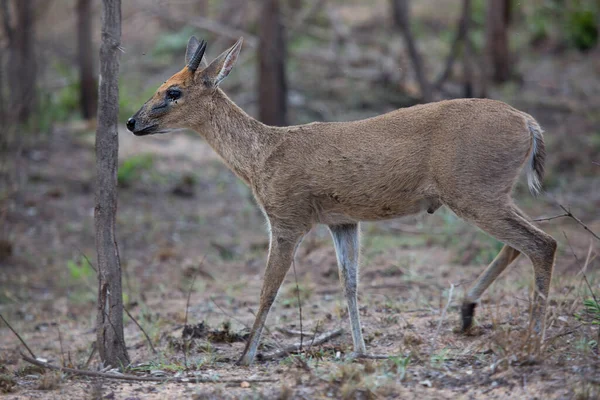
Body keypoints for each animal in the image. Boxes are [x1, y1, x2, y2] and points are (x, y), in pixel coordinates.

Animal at [126, 37, 556, 366]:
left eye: (173, 91)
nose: (132, 122)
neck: (261, 157)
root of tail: (529, 122)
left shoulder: (286, 217)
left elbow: (268, 288)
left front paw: (245, 356)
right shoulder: (342, 220)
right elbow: (349, 283)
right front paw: (360, 351)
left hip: (473, 190)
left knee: (542, 243)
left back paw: (532, 342)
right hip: (489, 191)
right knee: (523, 241)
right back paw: (467, 313)